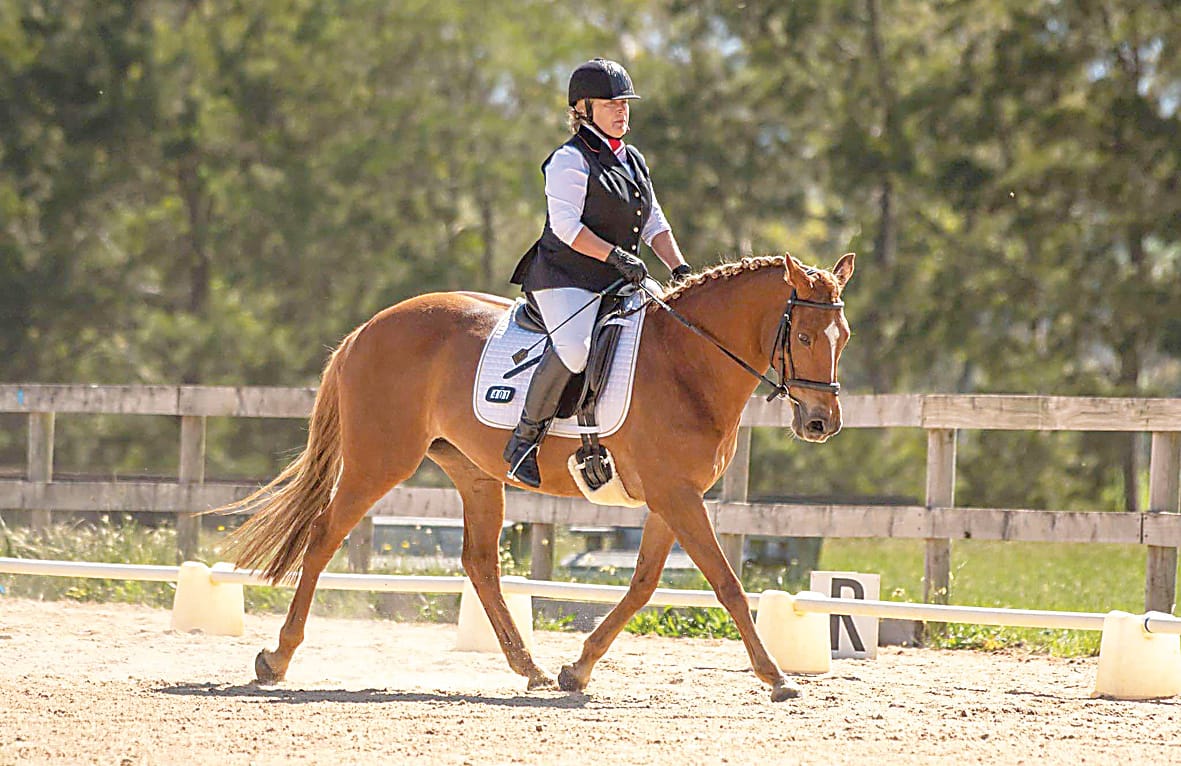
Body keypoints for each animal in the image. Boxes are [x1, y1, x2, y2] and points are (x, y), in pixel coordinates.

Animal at [222, 251, 855, 702]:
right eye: (802, 336)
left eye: (841, 338)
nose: (821, 422)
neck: (688, 361)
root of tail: (367, 328)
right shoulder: (677, 496)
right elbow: (727, 584)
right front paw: (777, 678)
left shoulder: (671, 498)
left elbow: (643, 585)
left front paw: (578, 668)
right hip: (379, 460)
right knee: (324, 535)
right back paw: (275, 659)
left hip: (474, 473)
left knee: (480, 563)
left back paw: (530, 668)